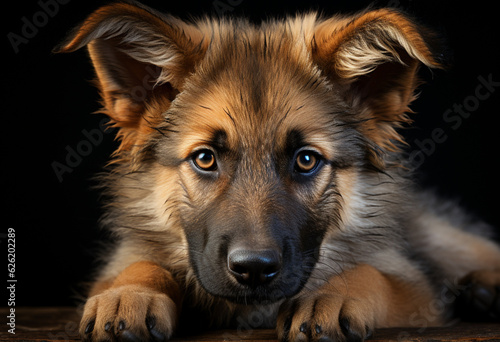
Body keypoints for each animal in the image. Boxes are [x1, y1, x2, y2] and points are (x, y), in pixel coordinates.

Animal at [54, 1, 500, 340]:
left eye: (306, 160)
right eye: (204, 158)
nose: (253, 269)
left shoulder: (415, 288)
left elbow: (372, 273)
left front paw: (332, 296)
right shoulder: (124, 256)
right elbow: (136, 265)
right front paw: (129, 293)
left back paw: (484, 287)